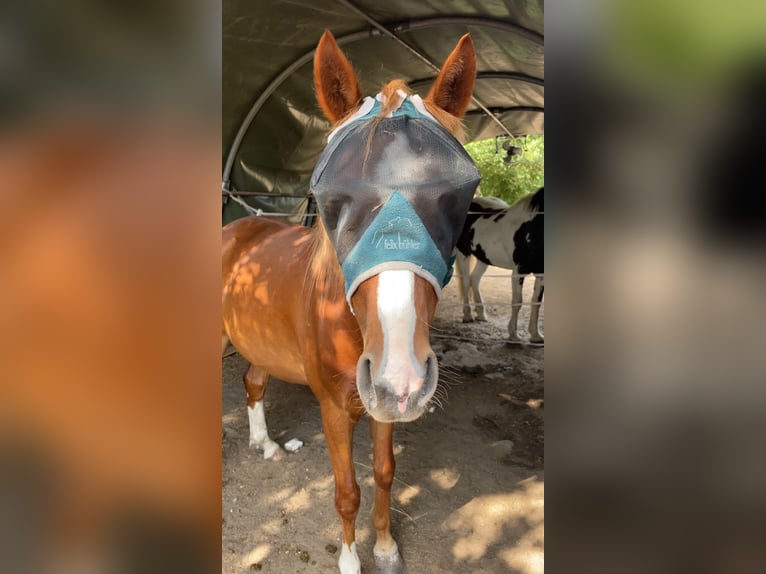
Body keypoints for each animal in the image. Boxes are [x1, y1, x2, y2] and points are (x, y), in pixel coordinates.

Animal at [221, 30, 479, 574]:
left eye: (455, 198)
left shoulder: (382, 406)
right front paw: (350, 560)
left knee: (253, 380)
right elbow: (346, 492)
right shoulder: (334, 411)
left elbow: (383, 472)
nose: (401, 375)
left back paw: (265, 443)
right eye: (331, 199)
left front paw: (385, 548)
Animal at [455, 187, 544, 343]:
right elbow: (517, 302)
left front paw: (536, 335)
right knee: (466, 282)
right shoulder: (518, 272)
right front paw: (513, 335)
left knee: (475, 279)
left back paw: (481, 314)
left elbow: (536, 302)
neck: (532, 228)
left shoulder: (542, 273)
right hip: (463, 253)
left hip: (483, 258)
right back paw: (467, 316)